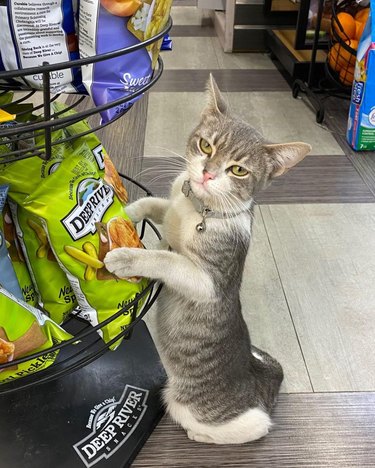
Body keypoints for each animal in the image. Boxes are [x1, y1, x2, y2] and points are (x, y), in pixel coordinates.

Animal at [104, 75, 312, 444]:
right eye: (206, 146)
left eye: (238, 170)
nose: (207, 174)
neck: (198, 208)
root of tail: (265, 386)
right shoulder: (174, 202)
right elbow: (156, 205)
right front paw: (125, 212)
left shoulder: (209, 282)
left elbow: (166, 259)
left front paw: (128, 256)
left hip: (197, 407)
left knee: (251, 426)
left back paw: (199, 435)